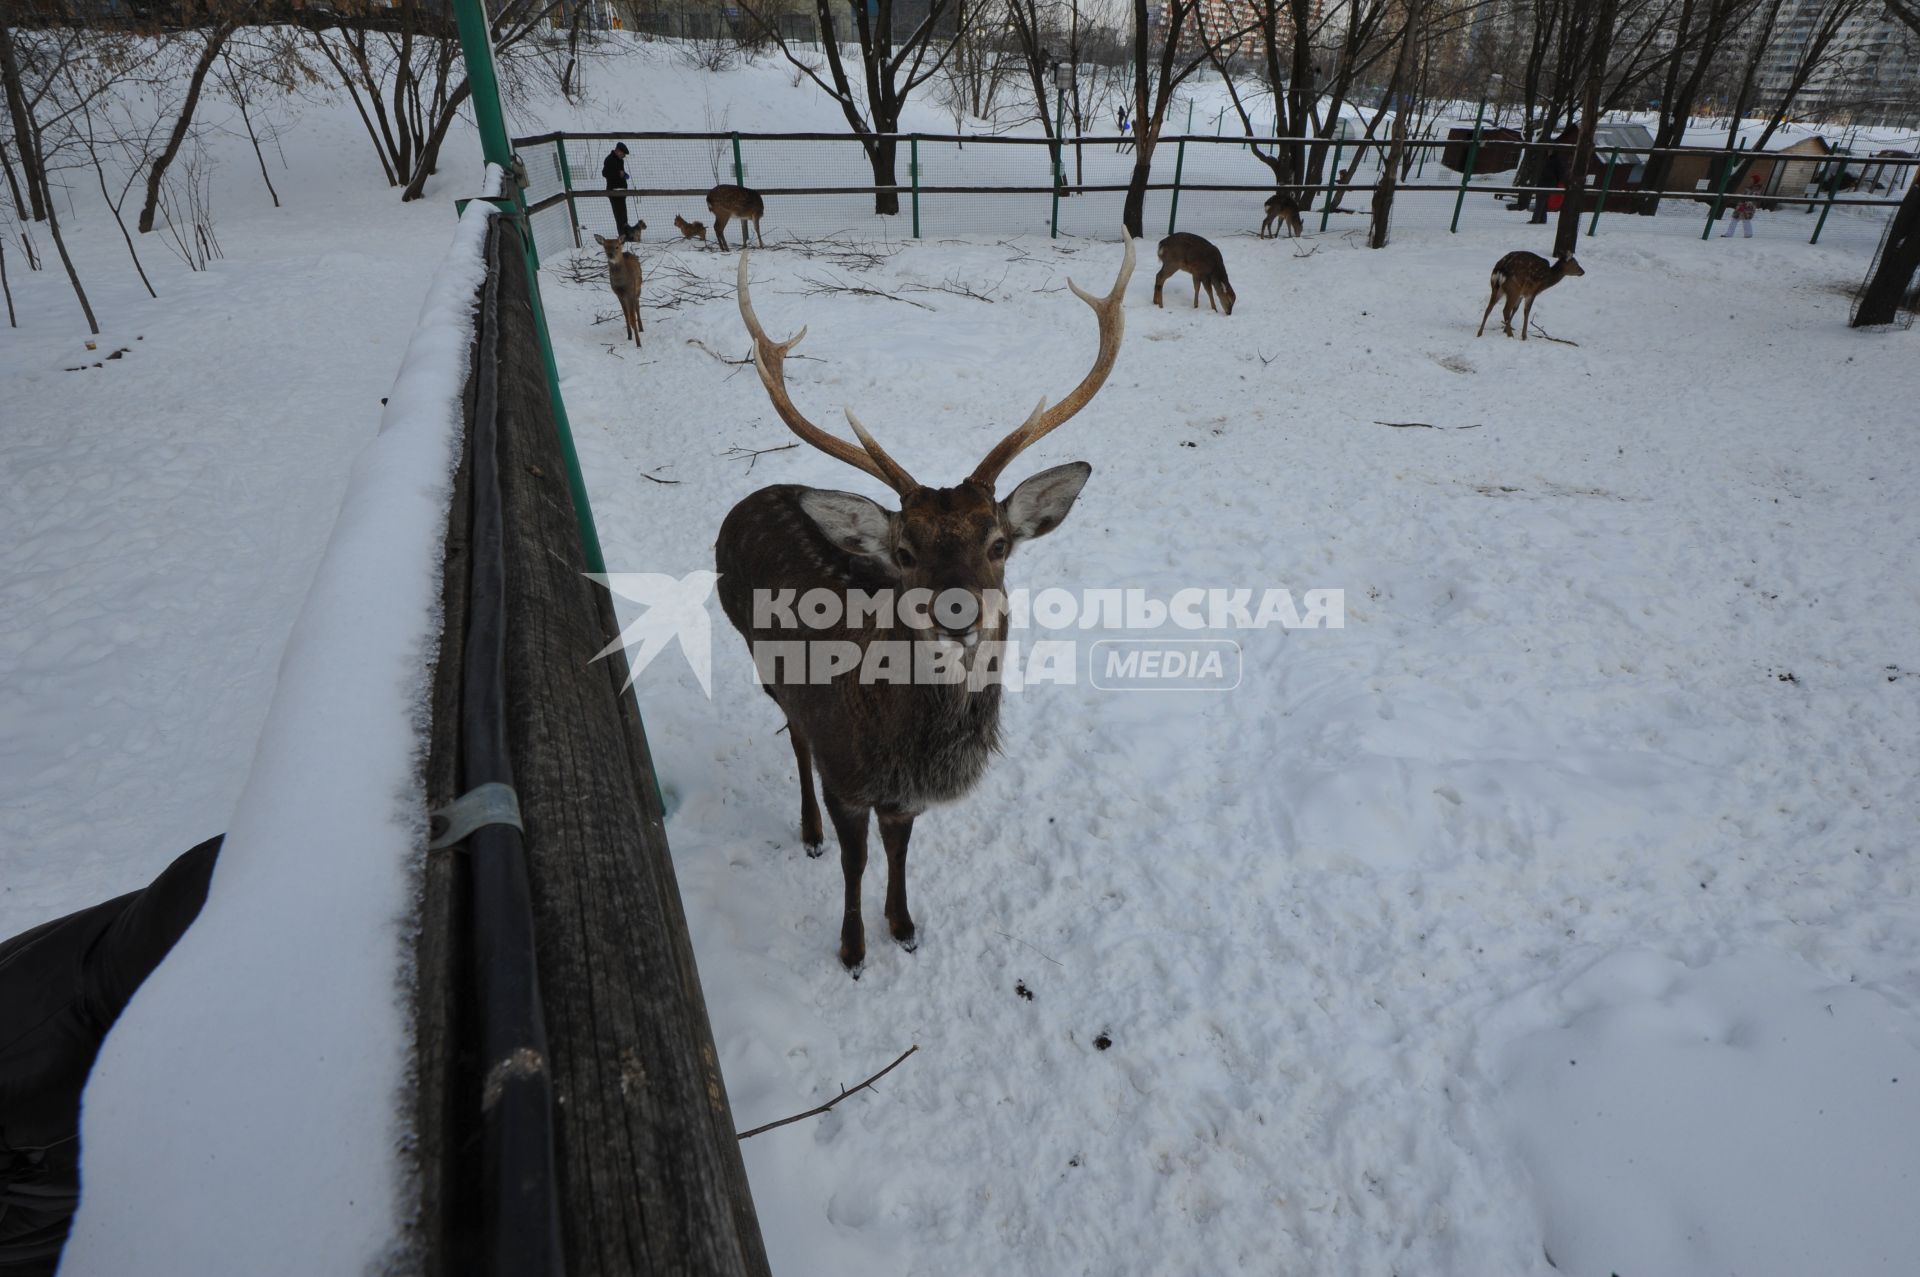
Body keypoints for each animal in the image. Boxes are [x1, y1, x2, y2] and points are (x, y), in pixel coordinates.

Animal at [718, 236, 1136, 967]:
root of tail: (754, 494)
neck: (903, 748)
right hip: (756, 652)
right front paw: (853, 947)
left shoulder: (904, 799)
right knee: (793, 735)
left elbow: (899, 847)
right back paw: (806, 831)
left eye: (998, 543)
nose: (959, 613)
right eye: (905, 551)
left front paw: (905, 925)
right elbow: (855, 859)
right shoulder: (845, 775)